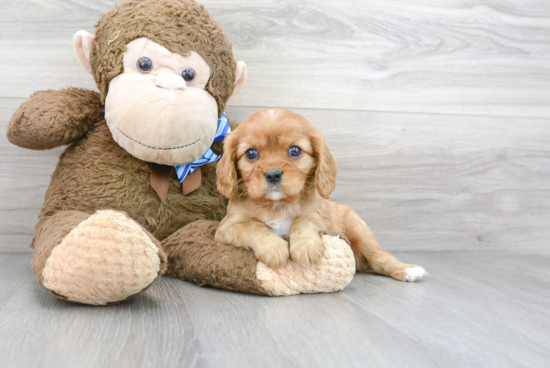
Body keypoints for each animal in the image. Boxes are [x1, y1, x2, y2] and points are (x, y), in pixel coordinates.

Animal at [216, 108, 426, 282]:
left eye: (294, 150)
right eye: (251, 153)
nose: (273, 174)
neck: (278, 205)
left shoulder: (317, 217)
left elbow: (302, 221)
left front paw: (305, 248)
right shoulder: (226, 228)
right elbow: (252, 226)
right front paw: (273, 247)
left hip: (359, 229)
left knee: (378, 256)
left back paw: (407, 270)